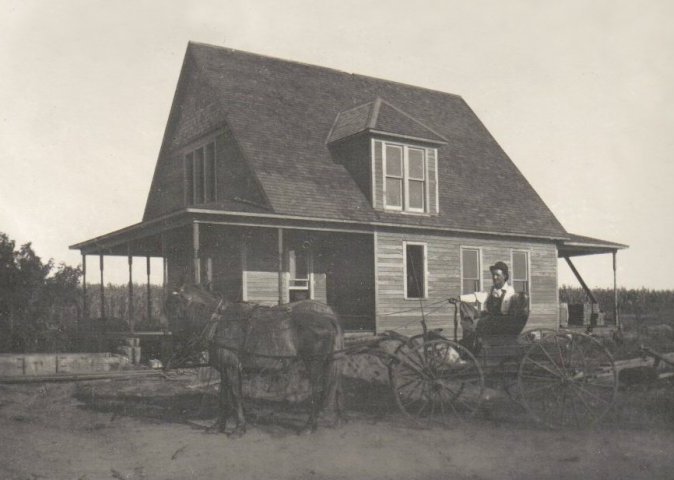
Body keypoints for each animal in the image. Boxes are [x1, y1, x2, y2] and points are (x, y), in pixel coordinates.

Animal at [162, 284, 342, 436]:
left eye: (176, 311)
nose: (172, 348)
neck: (219, 323)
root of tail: (326, 317)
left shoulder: (232, 367)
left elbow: (235, 395)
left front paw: (239, 428)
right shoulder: (225, 369)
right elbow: (223, 397)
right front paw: (217, 426)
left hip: (314, 363)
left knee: (317, 391)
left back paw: (308, 427)